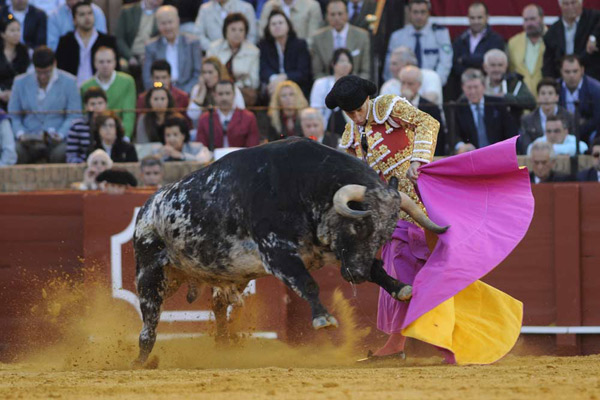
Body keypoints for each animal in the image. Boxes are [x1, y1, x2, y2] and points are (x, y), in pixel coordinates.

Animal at [134, 138, 448, 366]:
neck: (304, 186)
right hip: (150, 273)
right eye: (358, 226)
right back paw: (140, 362)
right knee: (149, 323)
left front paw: (401, 288)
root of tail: (149, 205)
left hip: (219, 276)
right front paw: (324, 318)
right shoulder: (277, 253)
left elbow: (377, 269)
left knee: (219, 307)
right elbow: (307, 283)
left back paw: (223, 348)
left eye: (385, 234)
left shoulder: (335, 251)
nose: (356, 276)